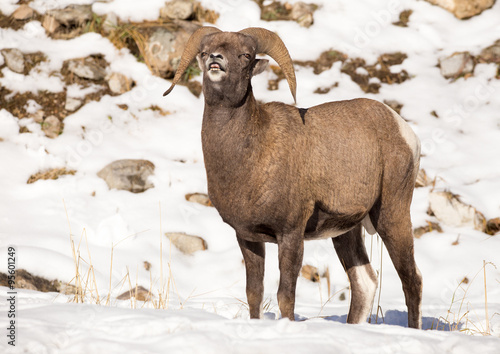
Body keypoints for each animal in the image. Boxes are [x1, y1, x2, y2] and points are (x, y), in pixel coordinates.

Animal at [164, 26, 422, 328]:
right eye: (204, 52)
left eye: (245, 55)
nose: (216, 59)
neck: (251, 155)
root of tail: (402, 129)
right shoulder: (247, 238)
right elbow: (254, 292)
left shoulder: (290, 234)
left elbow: (285, 295)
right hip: (347, 232)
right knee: (364, 282)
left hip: (391, 215)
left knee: (411, 280)